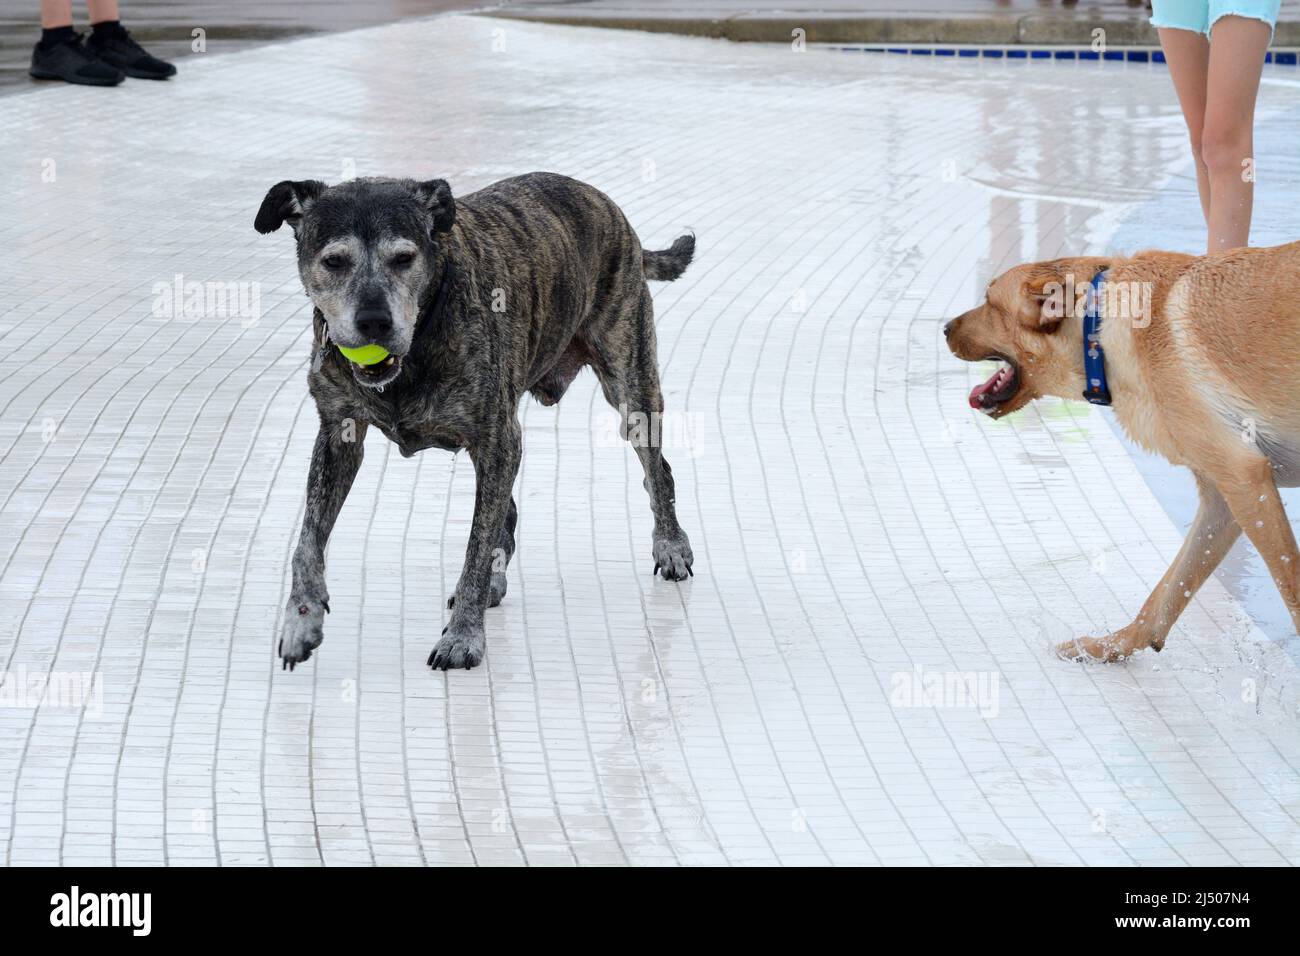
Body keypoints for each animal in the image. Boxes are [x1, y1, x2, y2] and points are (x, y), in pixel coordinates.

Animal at [256, 175, 702, 676]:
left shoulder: (496, 439)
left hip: (631, 380)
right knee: (507, 510)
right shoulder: (338, 435)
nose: (373, 321)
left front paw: (463, 636)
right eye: (334, 261)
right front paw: (301, 619)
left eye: (404, 257)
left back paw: (671, 545)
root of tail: (603, 202)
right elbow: (307, 540)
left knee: (656, 468)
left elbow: (475, 546)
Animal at [946, 244, 1300, 665]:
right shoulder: (1227, 494)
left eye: (989, 301)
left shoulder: (1244, 476)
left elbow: (1292, 588)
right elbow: (1167, 592)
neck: (1096, 325)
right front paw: (1110, 646)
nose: (944, 329)